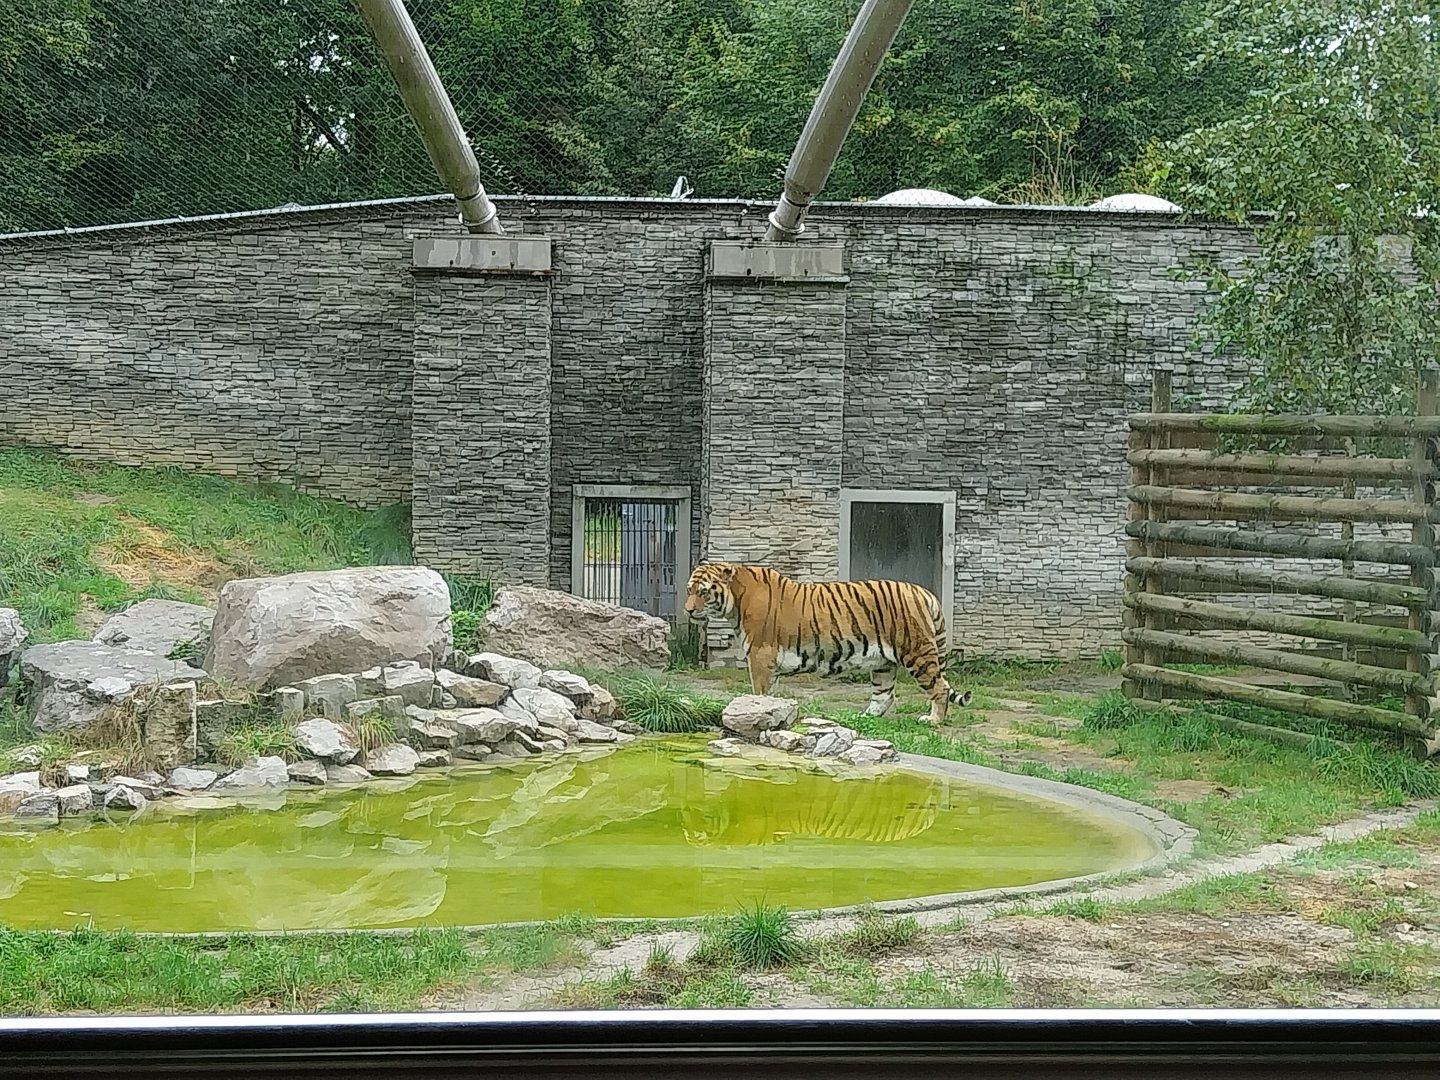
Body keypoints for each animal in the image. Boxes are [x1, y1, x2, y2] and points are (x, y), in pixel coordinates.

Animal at [683, 562, 972, 727]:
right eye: (689, 589)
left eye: (704, 592)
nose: (688, 610)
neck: (735, 601)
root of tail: (924, 593)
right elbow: (770, 693)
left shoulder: (760, 655)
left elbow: (760, 692)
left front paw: (757, 711)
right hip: (884, 663)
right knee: (885, 694)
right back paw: (863, 717)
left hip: (916, 652)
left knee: (939, 688)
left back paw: (933, 720)